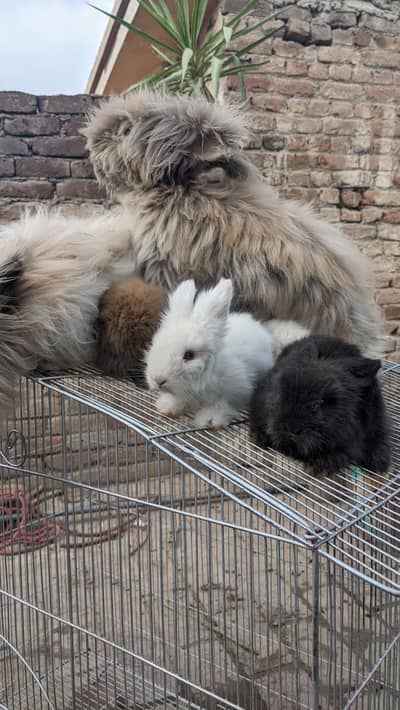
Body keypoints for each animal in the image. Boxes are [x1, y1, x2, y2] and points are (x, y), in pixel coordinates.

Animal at [145, 278, 275, 429]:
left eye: (189, 355)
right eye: (154, 343)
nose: (158, 380)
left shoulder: (233, 391)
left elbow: (221, 405)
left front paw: (210, 421)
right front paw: (167, 408)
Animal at [249, 335, 391, 475]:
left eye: (319, 403)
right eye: (281, 392)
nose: (290, 430)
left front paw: (319, 465)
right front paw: (260, 439)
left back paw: (378, 464)